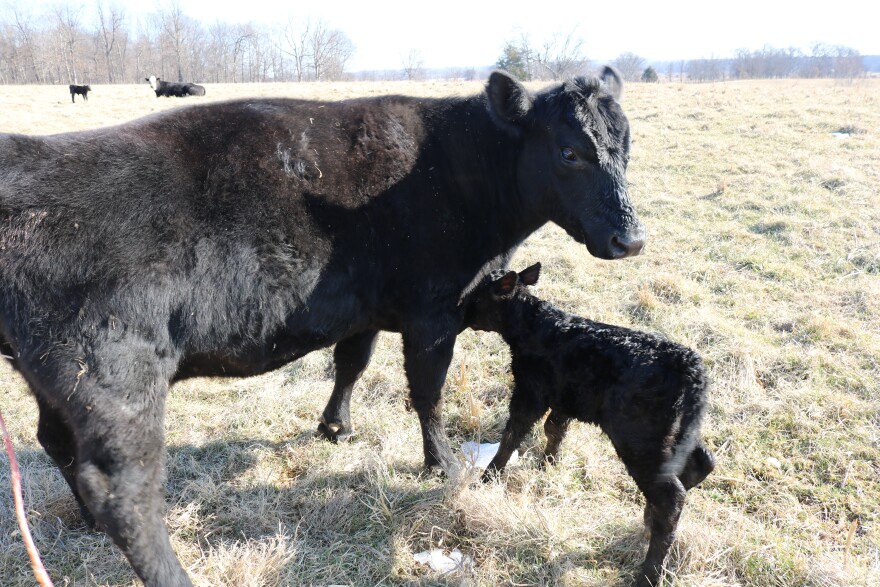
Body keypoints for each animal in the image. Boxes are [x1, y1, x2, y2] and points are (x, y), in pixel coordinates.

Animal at [0, 68, 644, 586]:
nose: (631, 239)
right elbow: (428, 392)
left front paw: (336, 427)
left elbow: (351, 364)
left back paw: (87, 524)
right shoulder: (434, 312)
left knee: (56, 442)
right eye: (569, 151)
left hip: (56, 374)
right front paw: (441, 463)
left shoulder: (367, 308)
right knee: (122, 491)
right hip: (113, 369)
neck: (461, 172)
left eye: (626, 147)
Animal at [463, 264, 714, 587]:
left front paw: (488, 477)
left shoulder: (530, 392)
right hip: (675, 434)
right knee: (701, 463)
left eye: (475, 296)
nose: (457, 314)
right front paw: (548, 464)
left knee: (671, 495)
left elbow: (512, 435)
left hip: (640, 438)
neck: (535, 326)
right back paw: (650, 520)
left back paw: (649, 573)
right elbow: (554, 429)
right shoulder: (563, 399)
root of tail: (692, 369)